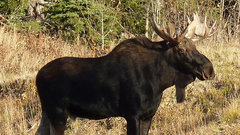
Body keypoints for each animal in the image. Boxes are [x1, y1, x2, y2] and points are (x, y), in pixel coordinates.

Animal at [35, 14, 218, 135]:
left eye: (195, 47)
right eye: (181, 50)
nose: (209, 69)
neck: (159, 83)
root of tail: (37, 77)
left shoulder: (148, 115)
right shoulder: (132, 114)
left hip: (47, 113)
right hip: (57, 113)